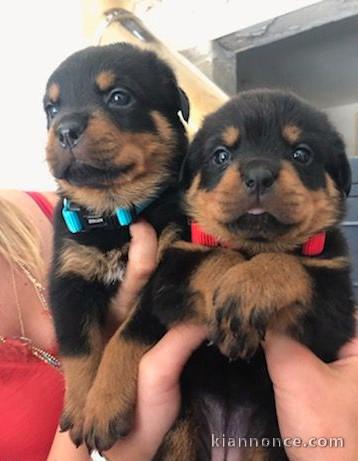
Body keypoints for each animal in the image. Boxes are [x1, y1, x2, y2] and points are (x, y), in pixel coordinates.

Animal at [43, 42, 189, 446]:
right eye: (52, 109)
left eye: (119, 97)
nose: (64, 130)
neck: (114, 211)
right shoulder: (68, 281)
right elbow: (78, 348)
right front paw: (80, 407)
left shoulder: (167, 275)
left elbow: (126, 337)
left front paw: (104, 406)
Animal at [101, 88, 356, 458]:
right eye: (221, 155)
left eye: (302, 154)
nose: (259, 174)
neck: (251, 247)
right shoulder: (172, 272)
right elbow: (214, 255)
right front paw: (234, 286)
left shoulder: (334, 309)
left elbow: (288, 262)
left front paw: (247, 289)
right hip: (183, 432)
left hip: (267, 441)